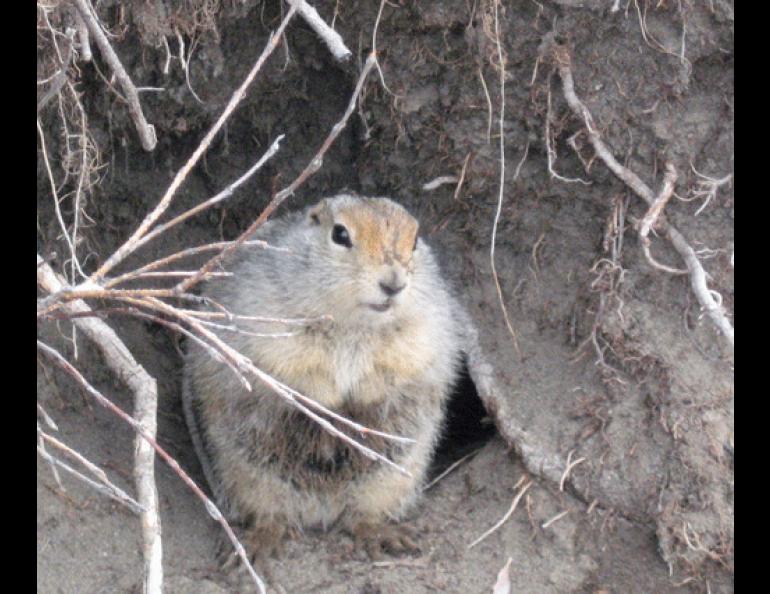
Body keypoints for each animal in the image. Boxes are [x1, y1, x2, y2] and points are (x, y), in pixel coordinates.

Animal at [184, 193, 462, 560]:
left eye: (415, 240)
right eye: (340, 234)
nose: (394, 284)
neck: (352, 324)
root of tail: (321, 512)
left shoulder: (423, 327)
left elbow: (401, 364)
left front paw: (359, 398)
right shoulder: (268, 319)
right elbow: (288, 364)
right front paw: (328, 401)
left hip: (391, 478)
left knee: (362, 516)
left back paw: (386, 535)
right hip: (247, 475)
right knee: (270, 515)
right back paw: (256, 545)